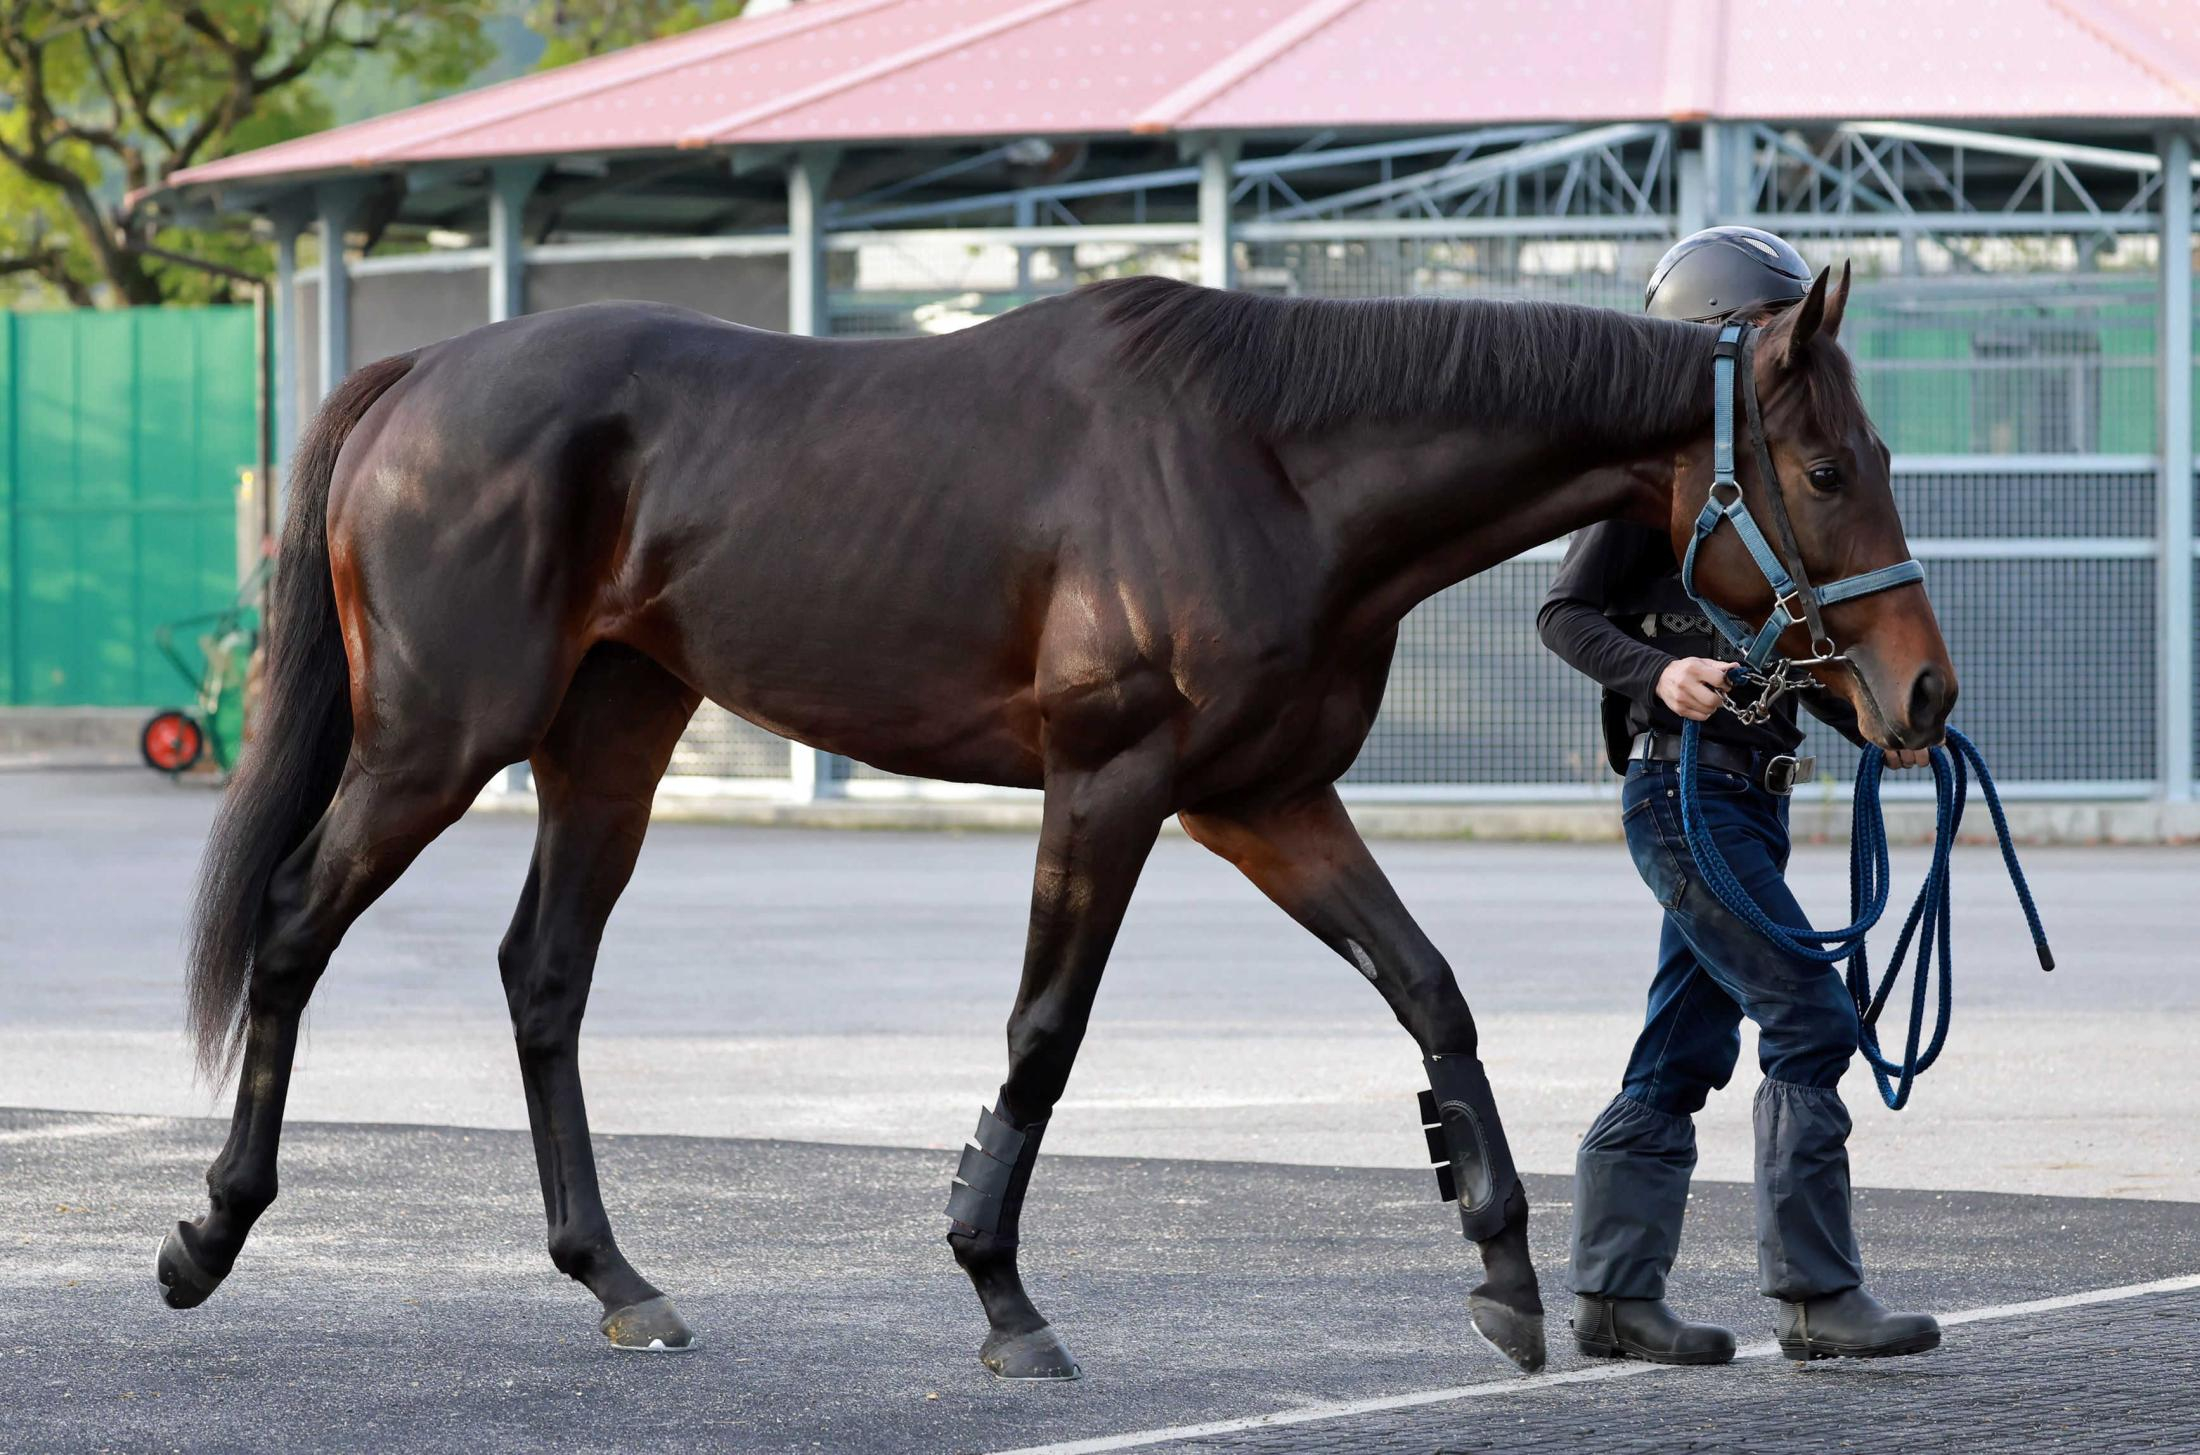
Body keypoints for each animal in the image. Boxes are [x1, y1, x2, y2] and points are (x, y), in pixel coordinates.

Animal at [159, 264, 1944, 1382]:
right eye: (1825, 466)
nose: (1921, 695)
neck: (1267, 460)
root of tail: (421, 377)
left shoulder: (1265, 799)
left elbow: (1431, 990)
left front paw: (1503, 1272)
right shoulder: (1114, 785)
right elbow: (1045, 1031)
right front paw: (1002, 1291)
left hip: (612, 743)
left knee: (544, 975)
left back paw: (620, 1279)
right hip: (434, 742)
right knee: (298, 922)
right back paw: (207, 1232)